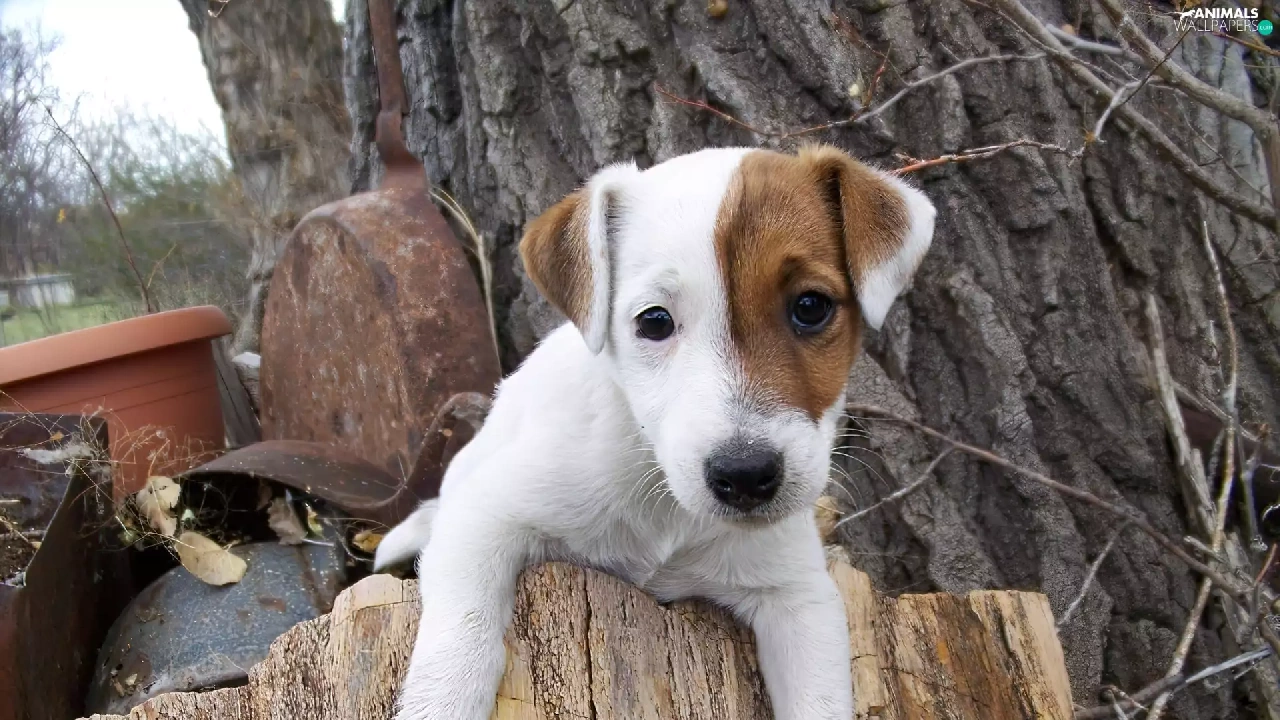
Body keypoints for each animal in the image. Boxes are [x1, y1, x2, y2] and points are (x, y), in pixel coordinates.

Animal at [374, 144, 937, 720]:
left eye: (811, 306)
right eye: (654, 321)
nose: (745, 476)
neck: (664, 501)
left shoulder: (799, 597)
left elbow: (819, 700)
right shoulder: (482, 519)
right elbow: (460, 642)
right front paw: (439, 699)